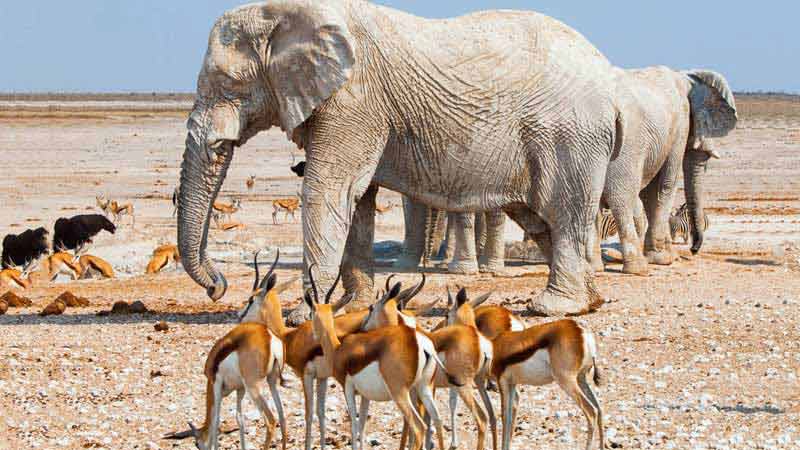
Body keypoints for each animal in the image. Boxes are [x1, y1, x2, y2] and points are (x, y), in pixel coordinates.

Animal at [175, 251, 288, 450]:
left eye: (197, 444)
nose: (239, 315)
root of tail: (268, 335)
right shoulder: (239, 389)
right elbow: (239, 419)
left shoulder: (215, 384)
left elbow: (216, 419)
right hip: (271, 380)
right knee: (282, 418)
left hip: (254, 386)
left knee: (271, 421)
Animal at [178, 0, 628, 320]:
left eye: (230, 83)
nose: (218, 286)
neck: (292, 12)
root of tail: (611, 85)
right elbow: (357, 201)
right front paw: (353, 307)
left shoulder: (353, 101)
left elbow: (327, 191)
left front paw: (303, 317)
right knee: (539, 220)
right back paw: (589, 301)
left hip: (568, 136)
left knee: (563, 213)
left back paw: (553, 308)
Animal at [306, 268, 454, 450]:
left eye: (311, 313)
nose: (312, 335)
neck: (338, 349)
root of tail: (419, 341)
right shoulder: (365, 395)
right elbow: (362, 424)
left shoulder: (347, 388)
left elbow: (354, 424)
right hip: (424, 387)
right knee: (437, 420)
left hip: (400, 392)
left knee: (419, 426)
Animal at [584, 65, 736, 272]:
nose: (693, 249)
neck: (687, 77)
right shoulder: (680, 125)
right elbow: (663, 186)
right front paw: (662, 259)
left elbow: (650, 193)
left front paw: (670, 255)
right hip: (627, 143)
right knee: (621, 197)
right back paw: (637, 268)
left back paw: (593, 267)